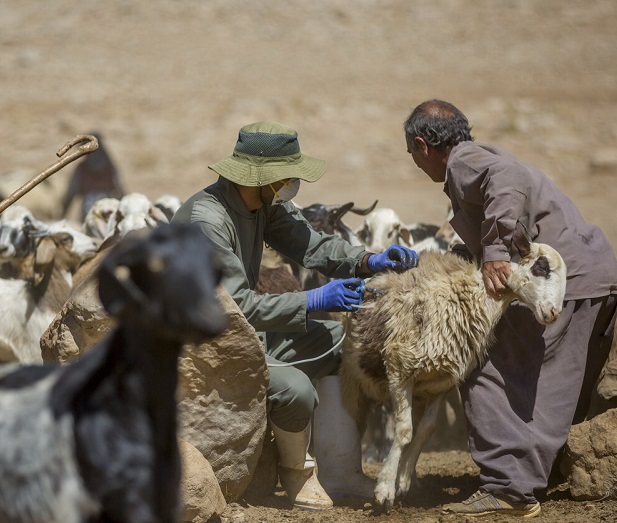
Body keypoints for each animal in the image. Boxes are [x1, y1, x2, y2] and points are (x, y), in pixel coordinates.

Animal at [340, 230, 564, 508]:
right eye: (542, 267)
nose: (553, 313)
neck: (474, 297)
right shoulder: (400, 370)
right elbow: (403, 432)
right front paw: (385, 488)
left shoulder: (439, 384)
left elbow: (424, 431)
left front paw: (403, 481)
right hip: (353, 380)